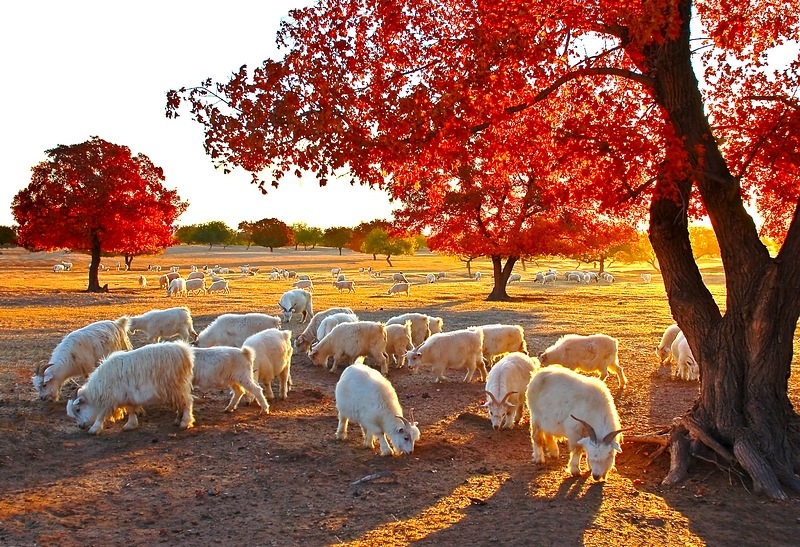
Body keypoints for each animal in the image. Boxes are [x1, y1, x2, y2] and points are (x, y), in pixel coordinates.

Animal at [66, 342, 195, 436]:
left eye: (78, 409)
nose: (80, 426)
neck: (97, 389)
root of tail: (185, 351)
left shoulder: (109, 400)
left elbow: (101, 415)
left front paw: (94, 429)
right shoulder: (127, 397)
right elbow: (131, 409)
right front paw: (131, 425)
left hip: (177, 386)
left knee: (188, 402)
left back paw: (185, 422)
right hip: (176, 389)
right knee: (182, 403)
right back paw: (178, 419)